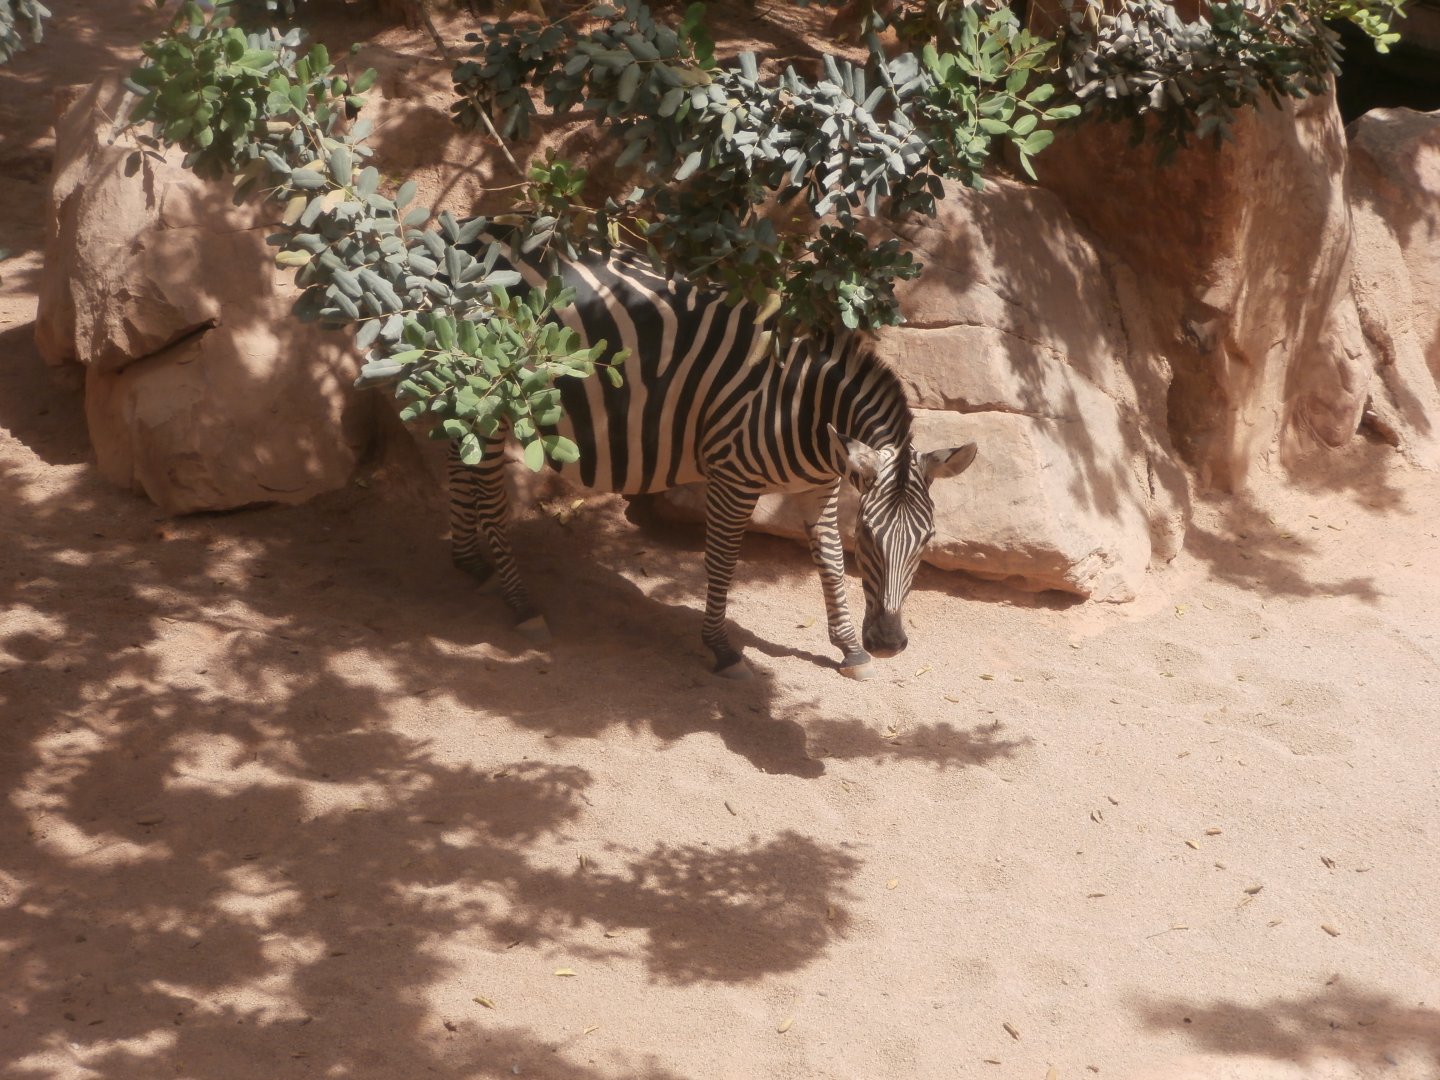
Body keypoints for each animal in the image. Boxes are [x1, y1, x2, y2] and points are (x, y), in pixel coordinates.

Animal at [447, 246, 977, 680]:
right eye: (866, 535)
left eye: (928, 538)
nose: (888, 644)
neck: (803, 410)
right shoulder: (732, 479)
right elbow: (722, 562)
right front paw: (722, 648)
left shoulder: (821, 487)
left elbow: (829, 560)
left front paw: (850, 650)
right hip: (493, 395)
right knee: (488, 494)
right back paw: (521, 603)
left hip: (468, 400)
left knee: (457, 465)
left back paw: (470, 562)